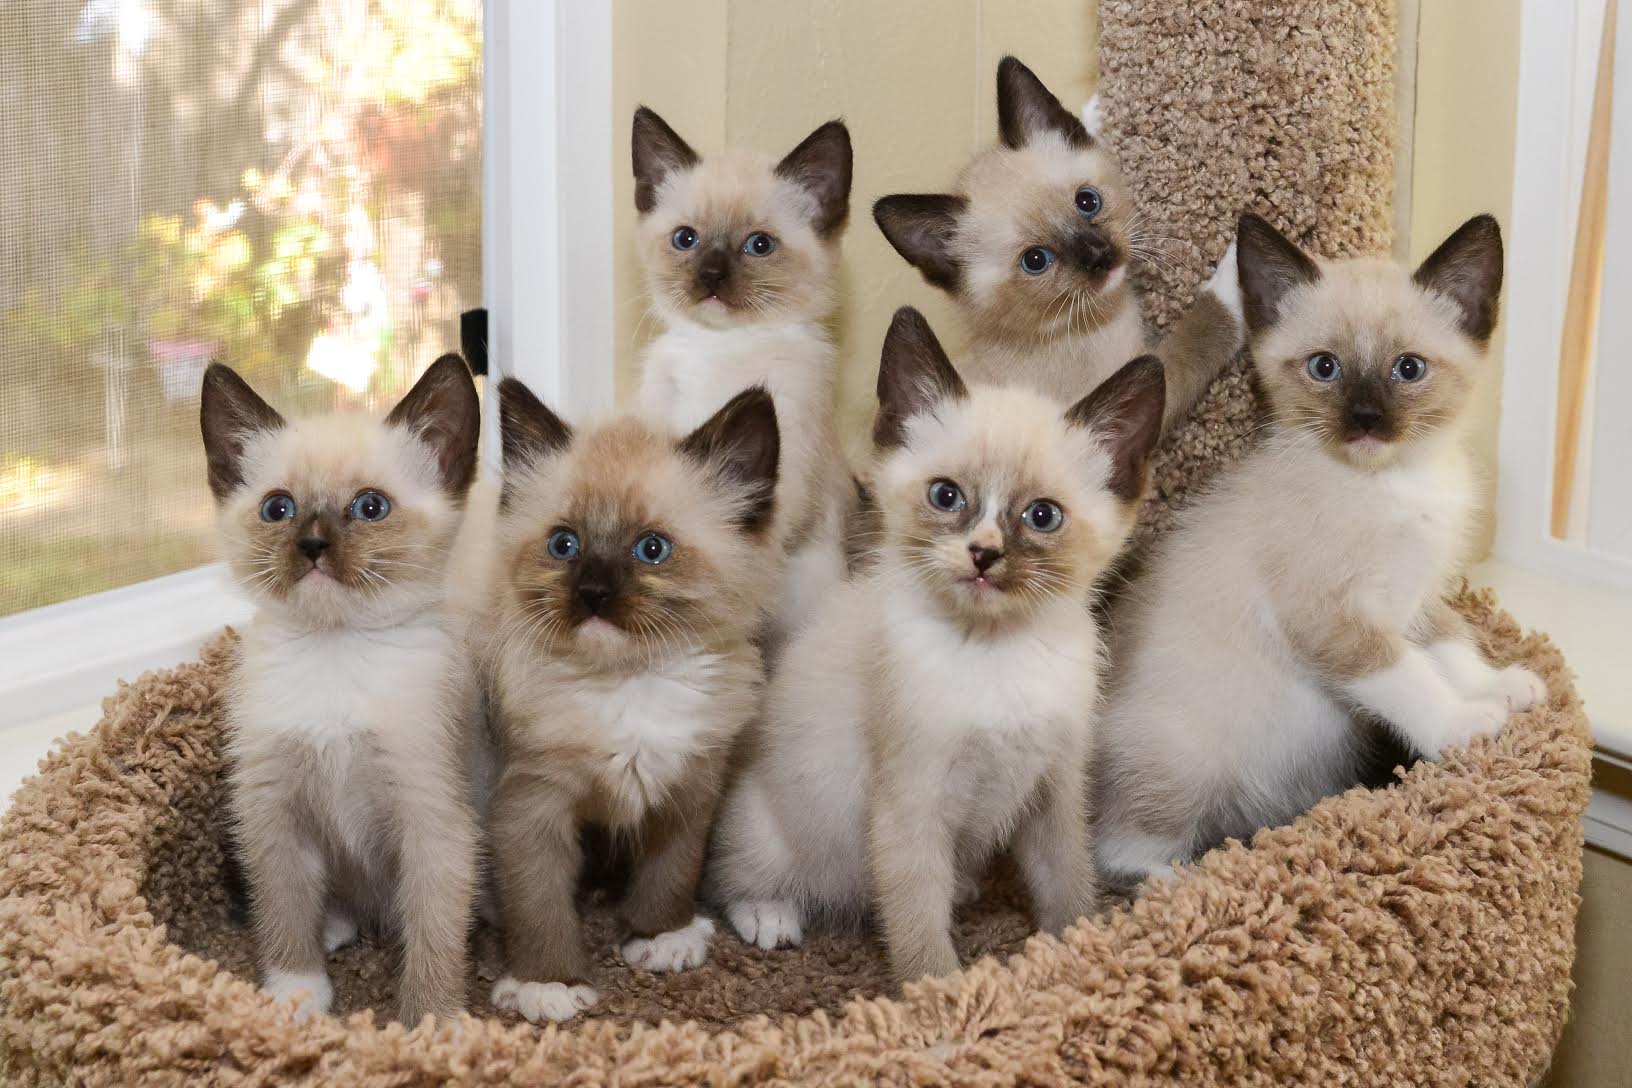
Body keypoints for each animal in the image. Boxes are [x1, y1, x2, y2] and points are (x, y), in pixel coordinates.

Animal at [199, 353, 482, 1024]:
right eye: (278, 509)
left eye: (370, 507)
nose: (312, 546)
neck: (335, 655)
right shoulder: (273, 812)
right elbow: (282, 909)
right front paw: (297, 994)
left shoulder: (433, 821)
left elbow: (435, 934)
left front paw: (433, 1020)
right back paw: (333, 927)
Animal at [482, 377, 780, 1023]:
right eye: (564, 544)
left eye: (651, 549)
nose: (593, 593)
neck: (627, 684)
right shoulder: (531, 807)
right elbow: (539, 908)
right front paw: (549, 985)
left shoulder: (688, 789)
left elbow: (670, 875)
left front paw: (660, 938)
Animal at [708, 307, 1164, 985]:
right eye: (946, 496)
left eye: (1042, 516)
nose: (983, 555)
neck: (999, 651)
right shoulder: (912, 803)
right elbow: (919, 928)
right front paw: (942, 998)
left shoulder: (1055, 789)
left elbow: (1067, 882)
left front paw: (1077, 952)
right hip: (772, 829)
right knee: (734, 875)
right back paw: (771, 917)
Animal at [873, 55, 1241, 431]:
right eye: (1036, 260)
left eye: (1088, 202)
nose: (1100, 257)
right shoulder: (1144, 385)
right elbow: (1205, 328)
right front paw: (1240, 264)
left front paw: (1093, 111)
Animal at [1093, 212, 1548, 885]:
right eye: (1325, 367)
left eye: (1408, 369)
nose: (1365, 419)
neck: (1392, 480)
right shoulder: (1331, 616)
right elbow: (1405, 675)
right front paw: (1462, 724)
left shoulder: (1416, 595)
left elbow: (1450, 641)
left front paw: (1496, 687)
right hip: (1185, 758)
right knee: (1122, 850)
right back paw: (1194, 879)